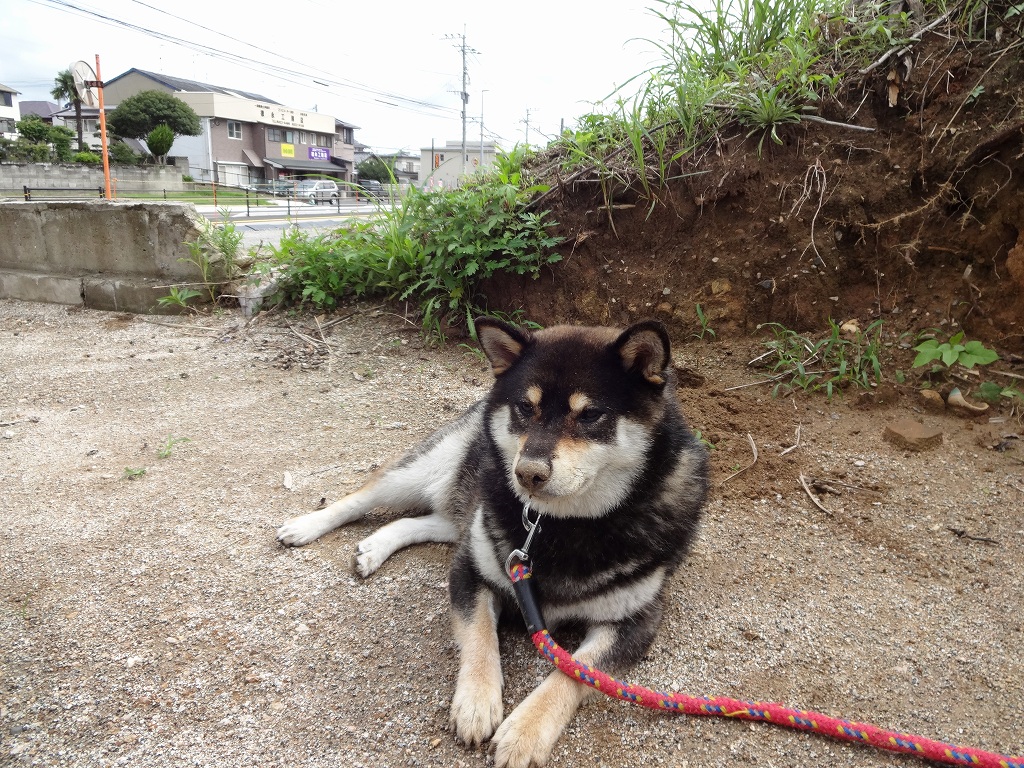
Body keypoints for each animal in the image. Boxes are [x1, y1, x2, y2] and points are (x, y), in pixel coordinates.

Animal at [277, 317, 709, 768]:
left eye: (590, 414)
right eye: (525, 407)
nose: (528, 473)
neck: (562, 525)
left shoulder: (635, 621)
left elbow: (572, 673)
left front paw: (525, 733)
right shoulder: (472, 571)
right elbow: (480, 637)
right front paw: (476, 703)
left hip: (466, 507)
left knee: (434, 520)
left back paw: (373, 547)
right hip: (429, 471)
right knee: (367, 495)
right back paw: (306, 525)